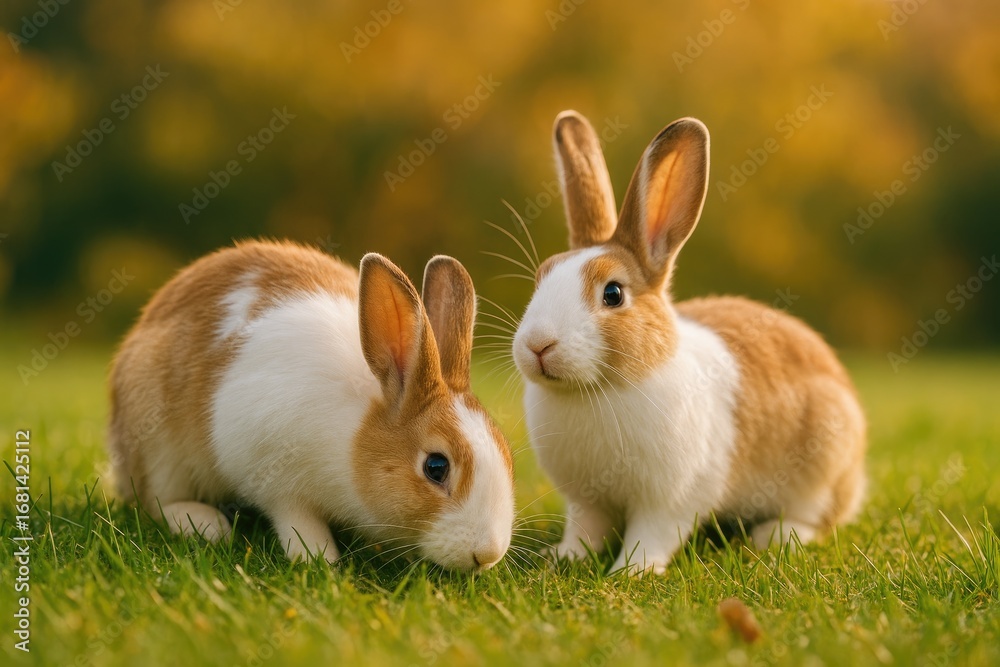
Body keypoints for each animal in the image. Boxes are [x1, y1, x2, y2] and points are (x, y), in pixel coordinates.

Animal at [108, 239, 514, 571]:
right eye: (436, 467)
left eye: (506, 451)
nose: (487, 555)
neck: (356, 434)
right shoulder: (276, 479)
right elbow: (296, 519)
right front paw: (319, 559)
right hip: (158, 449)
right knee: (157, 500)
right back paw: (206, 524)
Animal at [512, 111, 867, 575]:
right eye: (541, 277)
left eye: (613, 294)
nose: (538, 345)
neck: (598, 389)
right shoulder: (587, 501)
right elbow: (585, 530)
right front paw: (564, 558)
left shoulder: (671, 500)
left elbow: (652, 535)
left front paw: (632, 571)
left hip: (822, 466)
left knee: (817, 519)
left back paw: (772, 536)